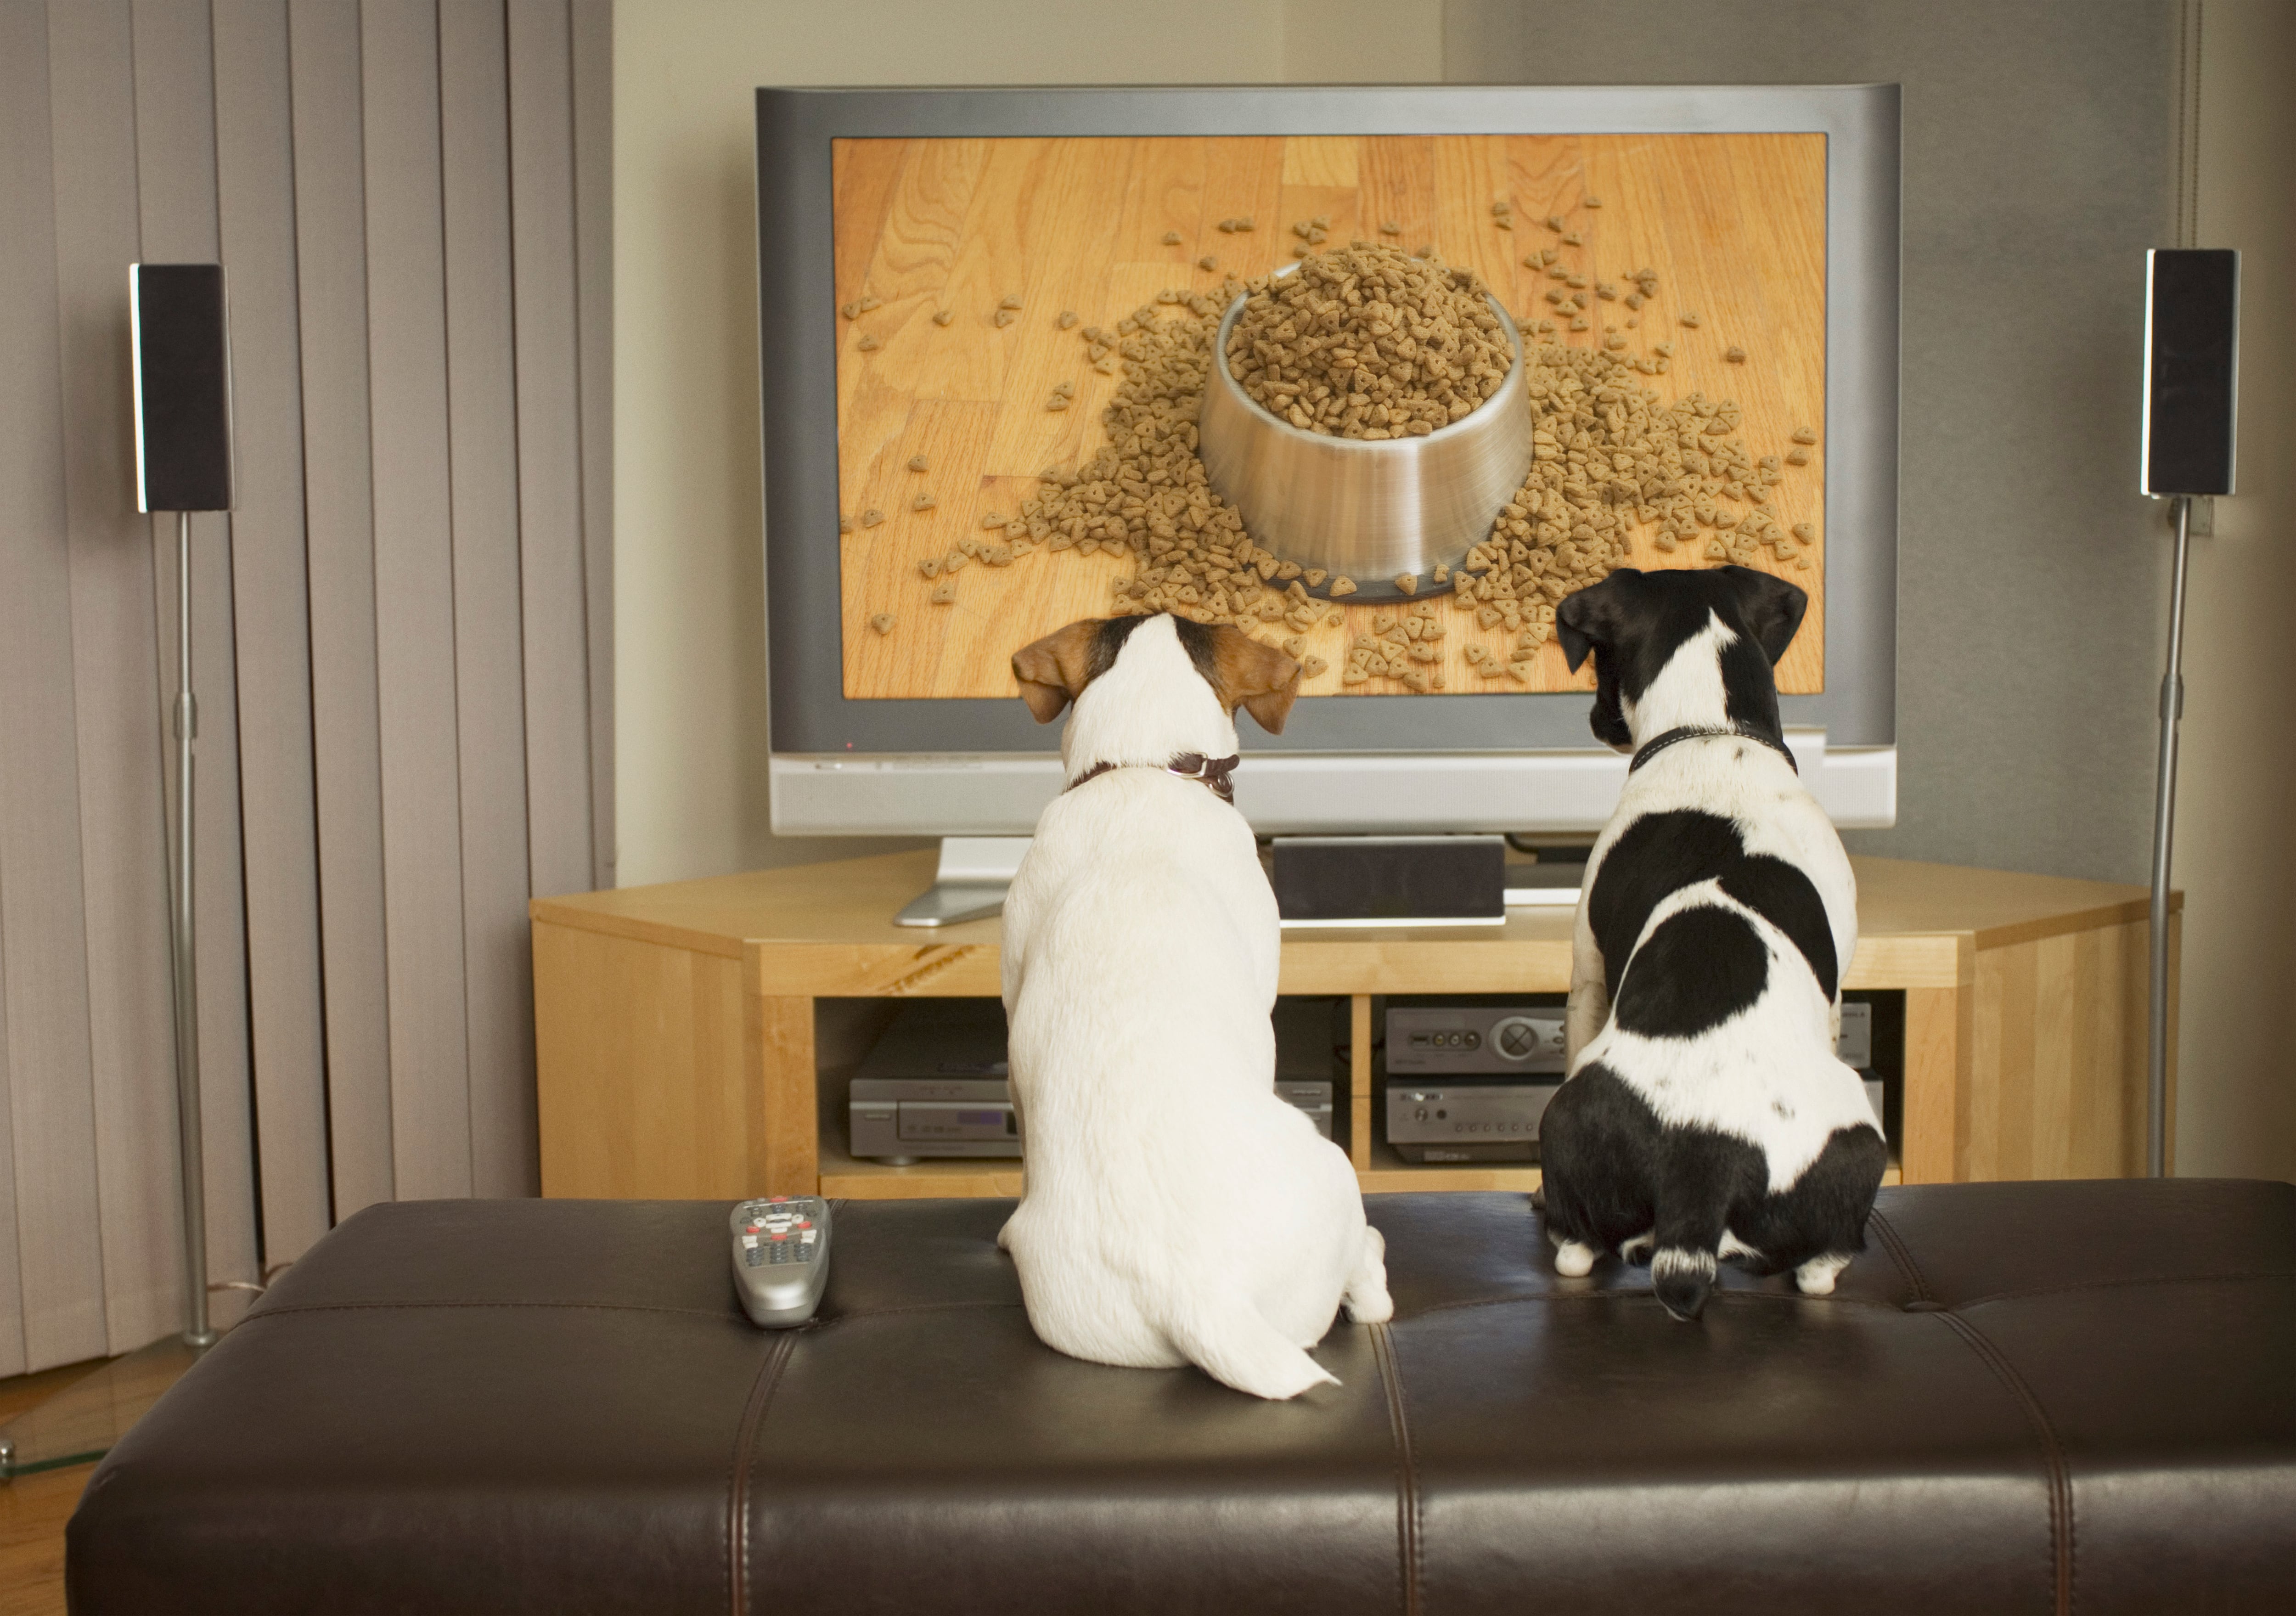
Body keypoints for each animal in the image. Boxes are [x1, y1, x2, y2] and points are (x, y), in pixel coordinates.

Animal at [1543, 569, 1883, 1322]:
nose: (1593, 721)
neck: (1714, 736)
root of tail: (1706, 1155)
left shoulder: (1587, 977)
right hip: (1862, 1139)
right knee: (1823, 1262)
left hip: (1565, 1120)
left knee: (1576, 1247)